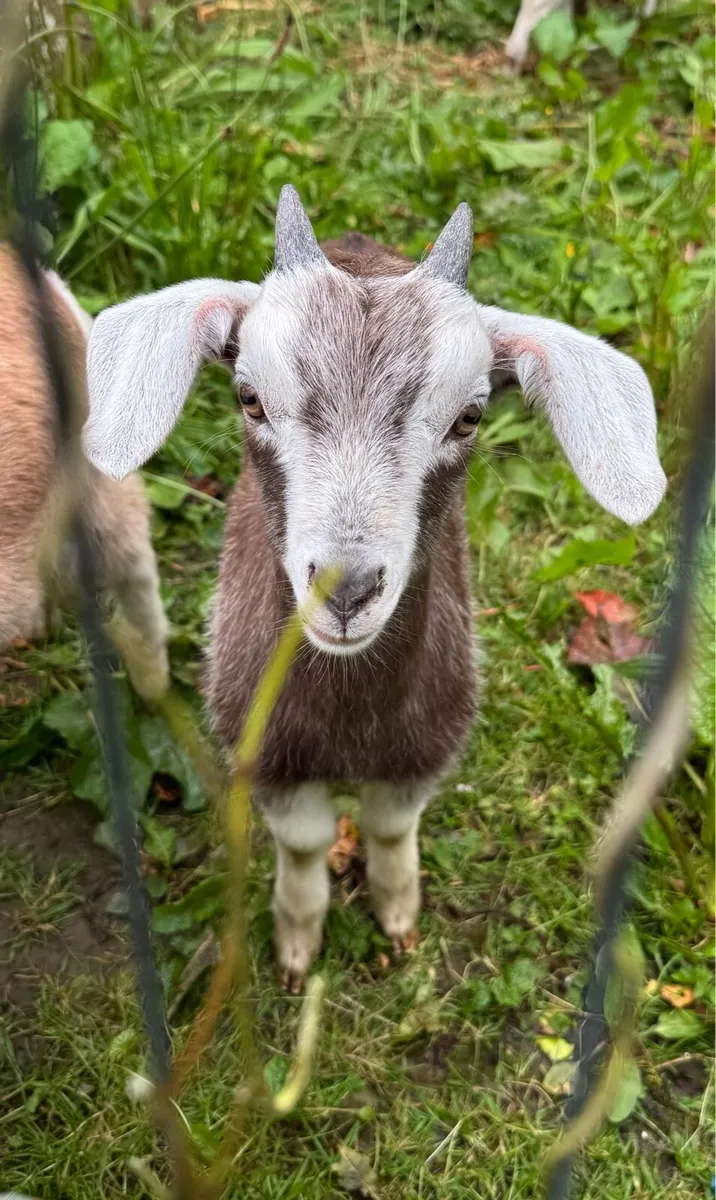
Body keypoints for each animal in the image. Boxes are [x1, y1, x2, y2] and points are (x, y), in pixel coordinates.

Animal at [82, 187, 666, 988]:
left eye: (469, 416)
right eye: (249, 398)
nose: (347, 590)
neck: (351, 723)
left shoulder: (424, 749)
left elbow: (391, 831)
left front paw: (397, 915)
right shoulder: (266, 756)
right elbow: (303, 845)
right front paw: (298, 945)